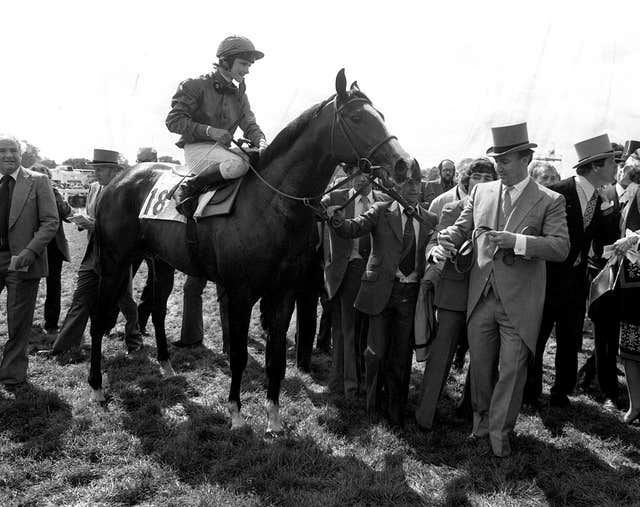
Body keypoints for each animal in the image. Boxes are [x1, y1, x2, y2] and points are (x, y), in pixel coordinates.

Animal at [89, 68, 416, 432]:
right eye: (357, 118)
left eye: (381, 115)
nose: (405, 164)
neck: (270, 204)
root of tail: (117, 181)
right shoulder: (241, 292)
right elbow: (241, 355)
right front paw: (236, 413)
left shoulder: (283, 292)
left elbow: (276, 357)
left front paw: (273, 417)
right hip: (116, 260)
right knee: (98, 317)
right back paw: (97, 390)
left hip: (161, 262)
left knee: (157, 309)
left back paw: (167, 366)